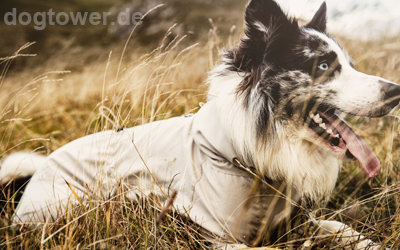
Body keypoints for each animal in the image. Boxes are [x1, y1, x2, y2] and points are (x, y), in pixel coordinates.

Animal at [0, 0, 400, 249]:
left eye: (349, 65)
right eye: (323, 65)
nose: (396, 91)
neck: (245, 153)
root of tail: (33, 177)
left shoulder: (297, 221)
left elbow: (346, 230)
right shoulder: (218, 237)